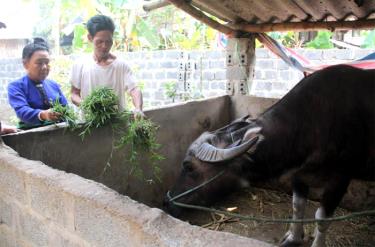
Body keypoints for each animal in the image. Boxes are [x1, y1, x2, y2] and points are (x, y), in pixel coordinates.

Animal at [165, 65, 375, 247]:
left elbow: (322, 218)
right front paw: (293, 238)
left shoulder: (340, 180)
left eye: (188, 166)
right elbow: (297, 206)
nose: (167, 202)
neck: (313, 122)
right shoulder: (299, 175)